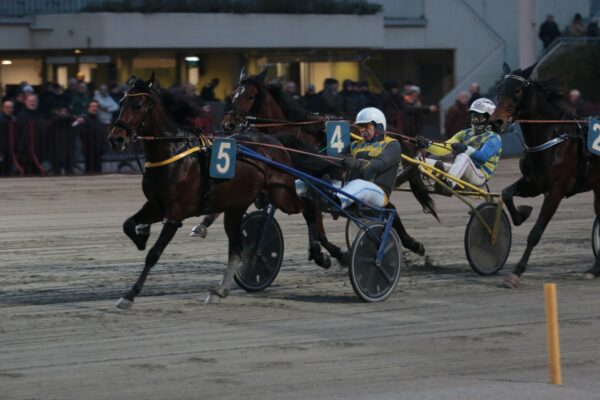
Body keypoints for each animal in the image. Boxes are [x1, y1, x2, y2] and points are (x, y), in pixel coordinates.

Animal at [108, 75, 338, 308]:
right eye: (122, 103)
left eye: (138, 106)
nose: (116, 138)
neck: (175, 154)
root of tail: (276, 142)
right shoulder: (155, 206)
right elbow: (128, 224)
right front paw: (141, 236)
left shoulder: (174, 214)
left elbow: (153, 254)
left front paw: (129, 295)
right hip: (236, 206)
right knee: (237, 248)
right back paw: (219, 290)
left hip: (281, 194)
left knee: (309, 205)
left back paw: (326, 252)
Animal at [492, 63, 600, 288]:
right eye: (499, 89)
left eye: (517, 90)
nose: (496, 121)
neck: (553, 137)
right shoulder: (532, 184)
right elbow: (506, 193)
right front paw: (522, 213)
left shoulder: (555, 192)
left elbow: (535, 233)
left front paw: (516, 273)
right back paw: (594, 270)